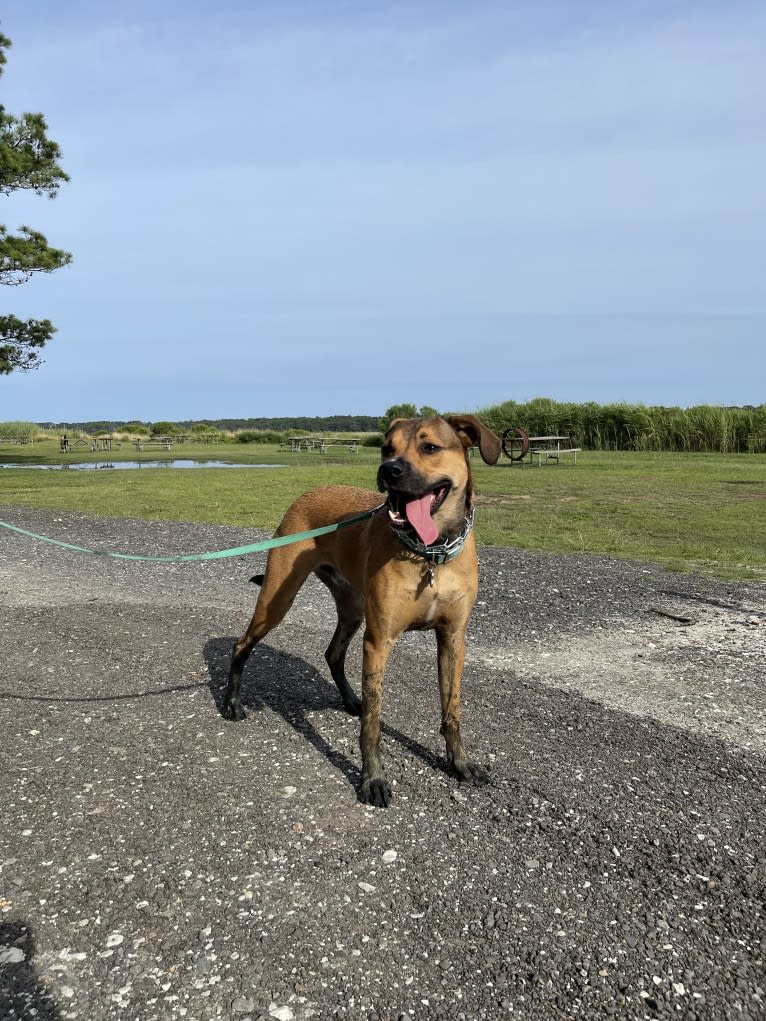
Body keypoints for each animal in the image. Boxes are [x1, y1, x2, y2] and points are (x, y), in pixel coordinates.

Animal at [223, 414, 504, 804]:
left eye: (430, 447)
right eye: (388, 448)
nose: (389, 470)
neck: (429, 553)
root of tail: (308, 493)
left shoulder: (453, 639)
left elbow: (452, 710)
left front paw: (460, 763)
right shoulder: (378, 642)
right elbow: (372, 723)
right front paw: (372, 779)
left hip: (352, 608)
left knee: (332, 653)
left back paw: (349, 699)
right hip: (277, 599)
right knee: (242, 644)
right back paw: (232, 703)